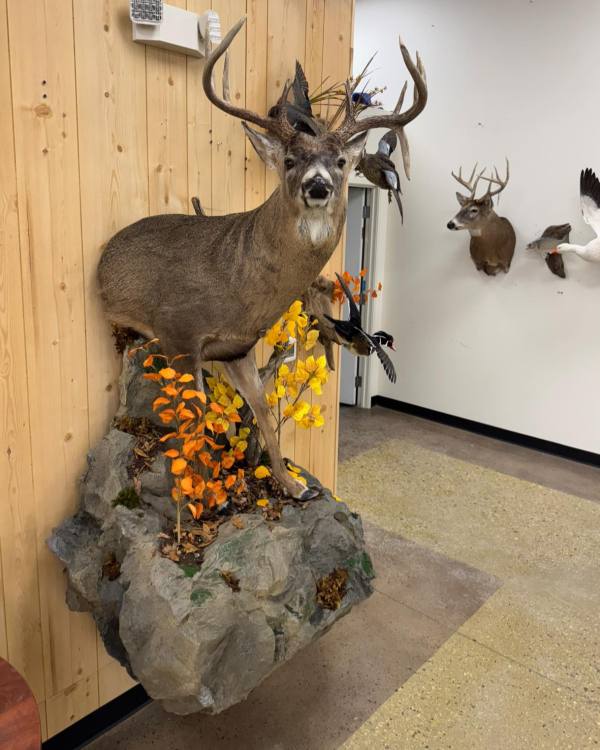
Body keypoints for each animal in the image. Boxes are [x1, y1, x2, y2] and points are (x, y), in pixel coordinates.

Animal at [97, 17, 427, 499]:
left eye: (341, 160)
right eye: (290, 159)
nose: (317, 185)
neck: (238, 285)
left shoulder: (238, 348)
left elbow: (264, 416)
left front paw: (293, 485)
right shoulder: (180, 334)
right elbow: (197, 419)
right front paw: (202, 495)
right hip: (125, 325)